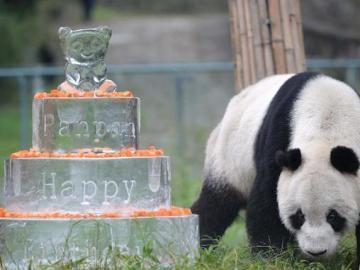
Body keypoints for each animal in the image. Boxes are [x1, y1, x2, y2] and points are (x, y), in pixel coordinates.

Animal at [193, 71, 360, 264]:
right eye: (299, 216)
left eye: (333, 216)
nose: (316, 252)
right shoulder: (280, 136)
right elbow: (267, 200)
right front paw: (270, 257)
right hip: (229, 156)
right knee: (217, 204)